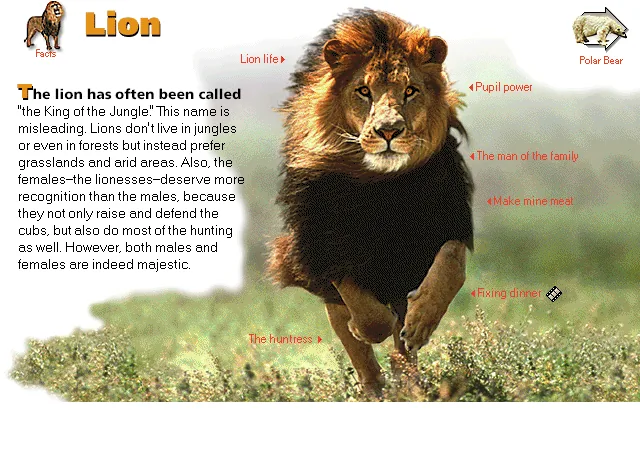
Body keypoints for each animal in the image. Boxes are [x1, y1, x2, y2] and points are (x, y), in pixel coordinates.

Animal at [268, 9, 473, 396]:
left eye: (410, 90)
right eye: (363, 91)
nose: (388, 131)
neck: (381, 184)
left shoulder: (449, 219)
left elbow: (451, 266)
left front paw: (421, 323)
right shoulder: (326, 246)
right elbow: (367, 316)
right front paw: (370, 328)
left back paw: (409, 383)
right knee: (356, 343)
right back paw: (377, 387)